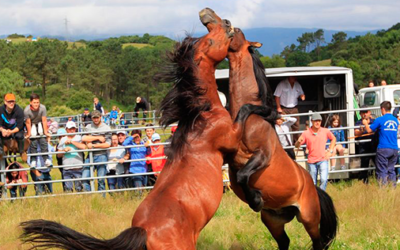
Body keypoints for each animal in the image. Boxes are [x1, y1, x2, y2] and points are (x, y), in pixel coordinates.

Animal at [18, 8, 268, 250]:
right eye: (210, 41)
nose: (226, 22)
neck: (201, 117)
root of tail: (143, 231)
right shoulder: (231, 139)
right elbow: (244, 112)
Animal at [225, 28, 338, 249]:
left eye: (238, 32)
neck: (253, 121)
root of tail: (313, 188)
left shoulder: (262, 156)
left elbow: (242, 175)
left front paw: (256, 200)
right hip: (273, 219)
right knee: (284, 241)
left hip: (309, 218)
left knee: (318, 241)